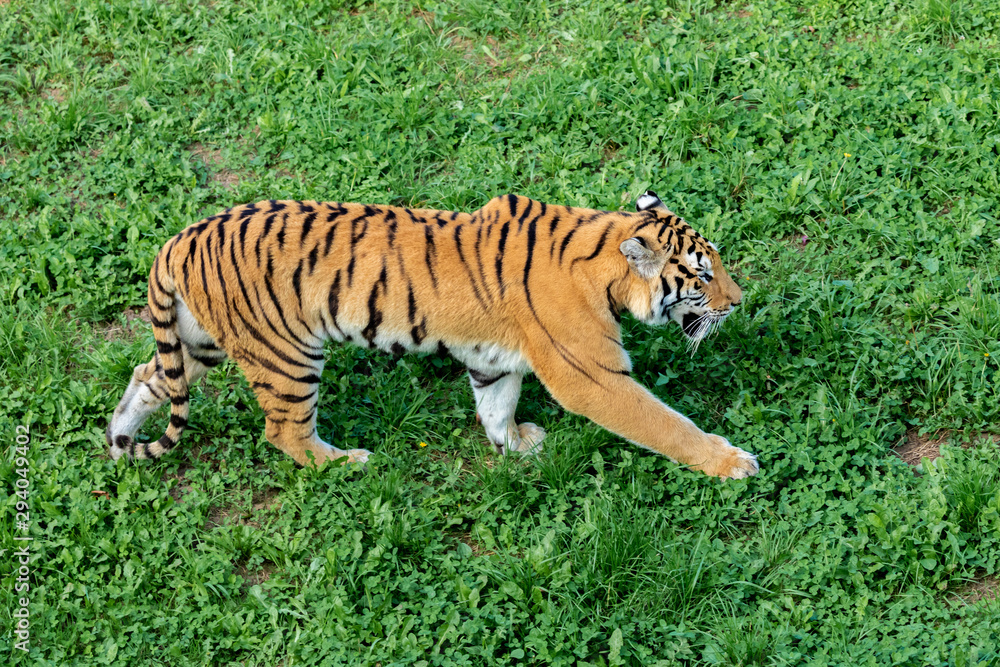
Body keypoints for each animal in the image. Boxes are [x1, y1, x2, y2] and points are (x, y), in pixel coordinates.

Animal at [107, 191, 758, 480]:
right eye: (703, 275)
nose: (739, 301)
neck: (600, 253)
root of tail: (180, 239)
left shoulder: (494, 361)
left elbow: (495, 407)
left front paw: (515, 445)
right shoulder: (593, 377)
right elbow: (666, 425)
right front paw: (732, 462)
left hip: (201, 342)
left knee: (147, 376)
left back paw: (117, 439)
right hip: (285, 355)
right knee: (283, 431)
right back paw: (346, 462)